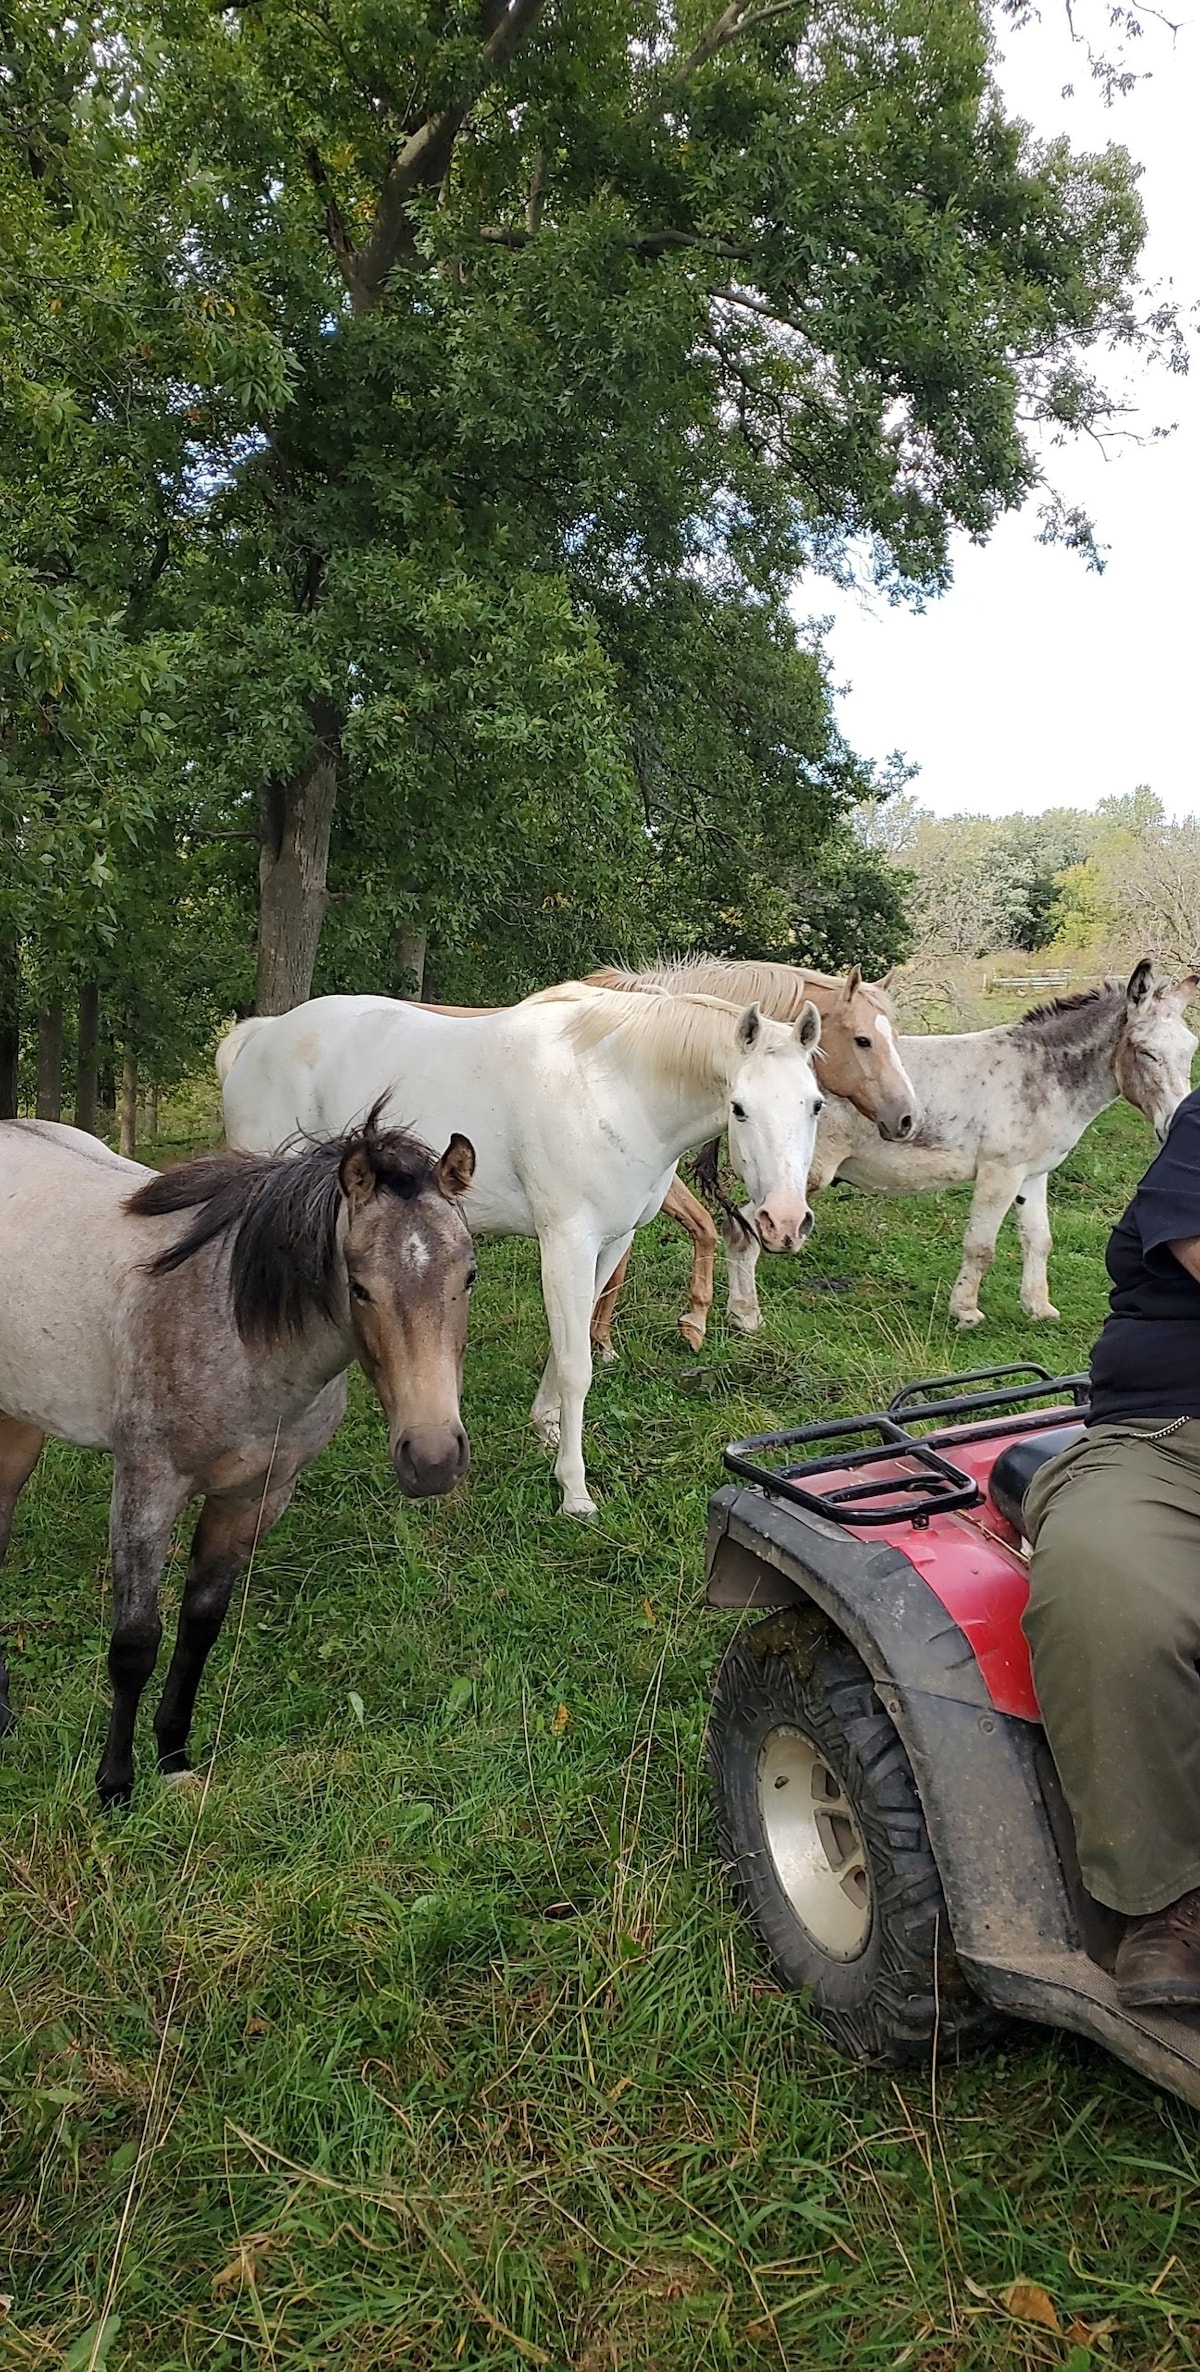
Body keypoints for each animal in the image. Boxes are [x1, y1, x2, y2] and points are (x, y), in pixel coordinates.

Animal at [0, 1105, 476, 1793]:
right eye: (359, 1287)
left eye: (469, 1275)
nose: (433, 1459)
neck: (237, 1329)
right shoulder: (146, 1488)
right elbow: (135, 1642)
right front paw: (115, 1785)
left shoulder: (253, 1496)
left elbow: (201, 1625)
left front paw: (173, 1760)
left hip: (19, 1424)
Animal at [218, 982, 825, 1518]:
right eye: (740, 1108)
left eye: (815, 1106)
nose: (784, 1222)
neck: (613, 1090)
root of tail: (260, 1035)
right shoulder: (566, 1244)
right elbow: (578, 1364)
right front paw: (574, 1490)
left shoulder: (609, 1243)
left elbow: (569, 1344)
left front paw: (546, 1426)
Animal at [585, 948, 915, 1356]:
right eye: (863, 1040)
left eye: (894, 1038)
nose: (906, 1117)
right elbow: (695, 1227)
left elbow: (689, 1231)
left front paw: (607, 1337)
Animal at [716, 963, 1195, 1337]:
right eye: (1146, 1053)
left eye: (1191, 1050)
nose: (1176, 1125)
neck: (1042, 1073)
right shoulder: (1000, 1174)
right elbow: (980, 1247)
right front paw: (965, 1311)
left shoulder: (1033, 1174)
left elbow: (1039, 1240)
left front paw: (1039, 1307)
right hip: (796, 1183)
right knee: (743, 1229)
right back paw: (745, 1316)